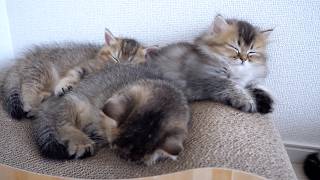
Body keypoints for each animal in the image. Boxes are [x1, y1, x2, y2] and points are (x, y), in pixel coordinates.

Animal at [2, 28, 147, 119]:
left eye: (130, 63)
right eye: (115, 58)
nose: (120, 66)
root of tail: (23, 60)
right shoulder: (85, 66)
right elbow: (73, 75)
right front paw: (63, 87)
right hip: (43, 70)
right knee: (28, 87)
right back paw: (30, 104)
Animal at [33, 63, 189, 166]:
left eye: (134, 159)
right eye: (114, 145)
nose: (122, 156)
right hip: (75, 102)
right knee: (62, 122)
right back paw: (82, 142)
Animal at [146, 15, 274, 114]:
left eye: (251, 52)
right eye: (234, 47)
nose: (243, 59)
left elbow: (257, 87)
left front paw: (266, 103)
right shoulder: (206, 77)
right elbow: (230, 85)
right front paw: (247, 101)